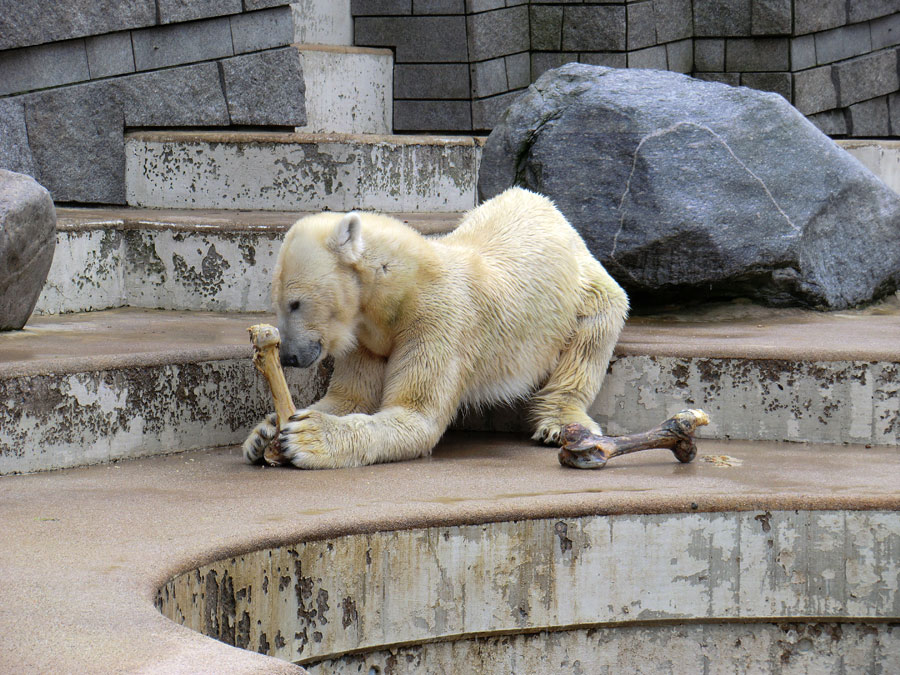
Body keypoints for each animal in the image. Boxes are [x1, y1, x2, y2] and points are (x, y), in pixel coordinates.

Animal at [243, 187, 628, 468]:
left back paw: (559, 423)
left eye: (295, 303)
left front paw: (308, 436)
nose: (289, 357)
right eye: (277, 302)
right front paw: (264, 433)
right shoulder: (367, 336)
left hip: (585, 292)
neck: (403, 289)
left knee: (588, 344)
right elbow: (349, 397)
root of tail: (550, 208)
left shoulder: (439, 321)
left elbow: (415, 415)